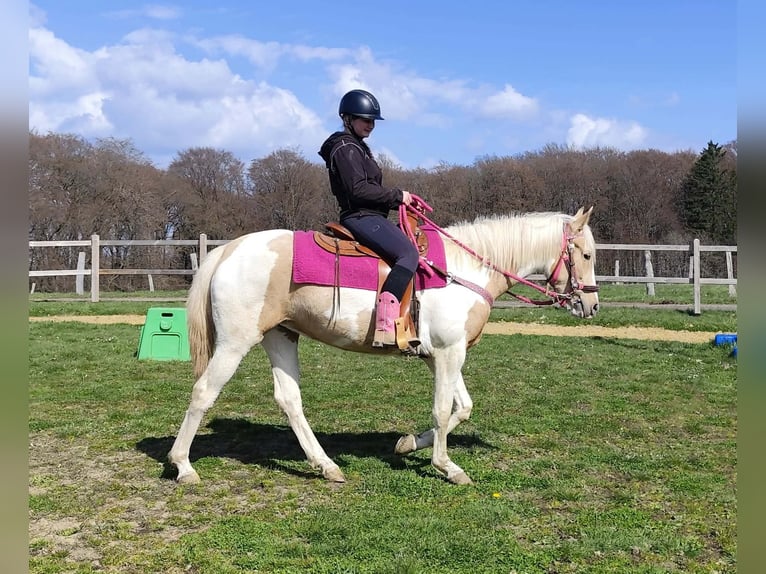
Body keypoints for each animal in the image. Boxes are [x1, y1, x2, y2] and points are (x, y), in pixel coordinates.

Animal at [168, 206, 599, 485]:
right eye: (587, 254)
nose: (591, 305)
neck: (464, 271)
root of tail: (229, 250)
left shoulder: (441, 355)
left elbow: (462, 408)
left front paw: (407, 445)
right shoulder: (449, 353)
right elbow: (444, 411)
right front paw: (447, 466)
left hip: (280, 336)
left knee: (289, 399)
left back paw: (326, 466)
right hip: (235, 342)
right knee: (204, 393)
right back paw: (183, 466)